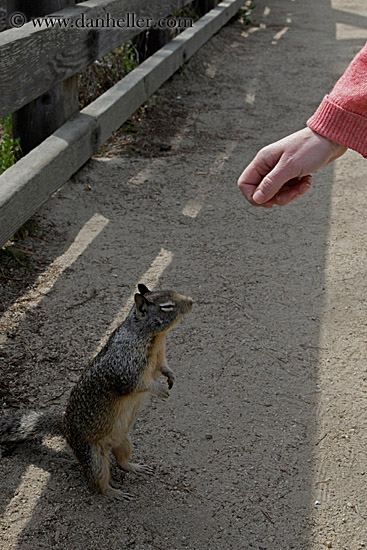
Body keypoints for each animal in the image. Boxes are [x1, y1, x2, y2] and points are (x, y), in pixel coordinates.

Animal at [0, 286, 194, 502]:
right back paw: (114, 493)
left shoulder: (159, 357)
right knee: (98, 483)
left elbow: (163, 367)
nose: (192, 301)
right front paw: (160, 390)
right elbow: (139, 384)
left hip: (124, 441)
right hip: (93, 458)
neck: (154, 338)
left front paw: (171, 375)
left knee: (122, 461)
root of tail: (65, 428)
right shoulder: (125, 368)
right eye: (166, 306)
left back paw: (135, 467)